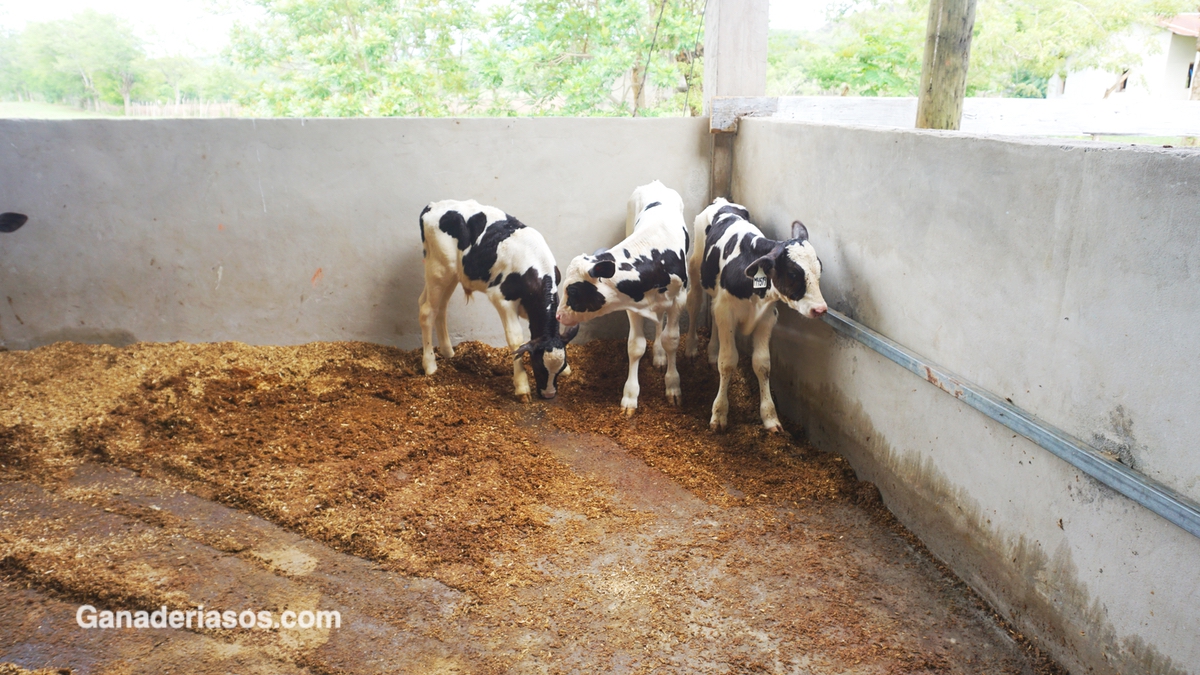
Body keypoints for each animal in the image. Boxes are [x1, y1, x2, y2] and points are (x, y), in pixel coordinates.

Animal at [417, 198, 576, 398]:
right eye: (539, 367)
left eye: (560, 367)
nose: (548, 394)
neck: (536, 268)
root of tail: (433, 205)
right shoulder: (502, 300)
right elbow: (516, 339)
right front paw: (522, 386)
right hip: (438, 270)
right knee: (427, 311)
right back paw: (430, 365)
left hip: (451, 275)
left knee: (438, 307)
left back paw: (448, 352)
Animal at [556, 178, 691, 413]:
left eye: (572, 290)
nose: (558, 315)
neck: (656, 256)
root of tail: (656, 183)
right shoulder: (633, 303)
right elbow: (636, 347)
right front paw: (630, 397)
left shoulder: (679, 300)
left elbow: (672, 340)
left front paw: (673, 386)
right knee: (658, 320)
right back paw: (658, 355)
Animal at [686, 199, 825, 429]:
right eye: (793, 273)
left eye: (819, 269)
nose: (820, 309)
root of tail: (721, 201)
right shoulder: (727, 312)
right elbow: (728, 361)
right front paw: (719, 413)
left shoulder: (767, 318)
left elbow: (762, 364)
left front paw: (770, 417)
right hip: (696, 267)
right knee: (694, 303)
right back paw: (691, 348)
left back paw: (712, 351)